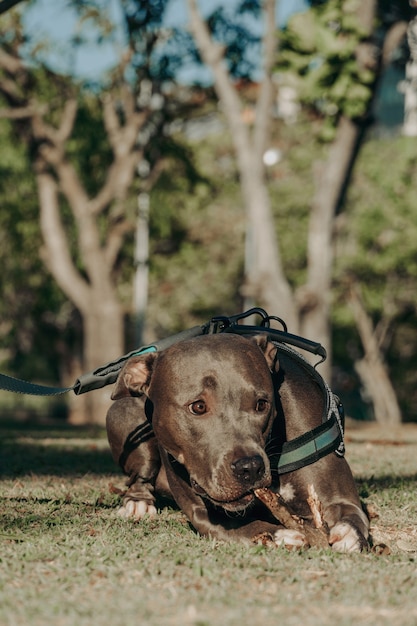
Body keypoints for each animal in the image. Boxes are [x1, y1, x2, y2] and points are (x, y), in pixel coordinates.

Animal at [105, 334, 368, 548]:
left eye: (261, 404)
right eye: (198, 406)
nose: (250, 467)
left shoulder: (339, 497)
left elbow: (351, 513)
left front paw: (348, 533)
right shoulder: (202, 514)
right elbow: (245, 526)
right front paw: (279, 535)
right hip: (126, 417)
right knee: (140, 477)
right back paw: (137, 503)